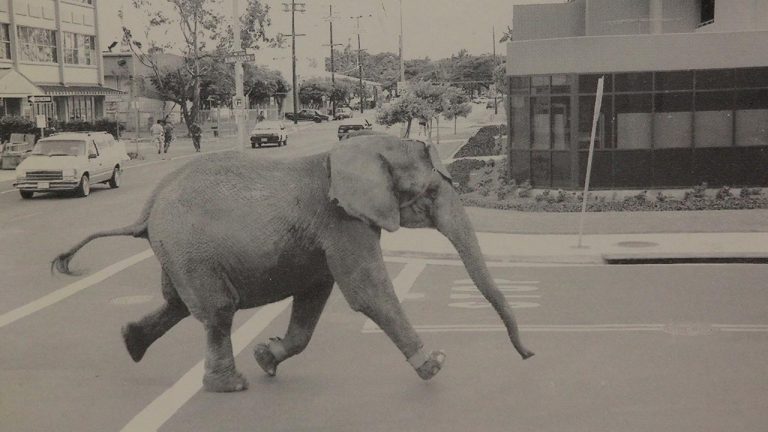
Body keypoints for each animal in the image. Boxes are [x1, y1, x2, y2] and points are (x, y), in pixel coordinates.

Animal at [51, 132, 533, 393]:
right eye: (431, 192)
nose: (529, 355)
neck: (355, 150)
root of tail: (147, 209)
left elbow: (314, 295)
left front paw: (268, 356)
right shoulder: (342, 221)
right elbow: (367, 293)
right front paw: (434, 364)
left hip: (178, 252)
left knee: (179, 303)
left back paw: (131, 343)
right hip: (190, 249)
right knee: (217, 310)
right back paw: (230, 386)